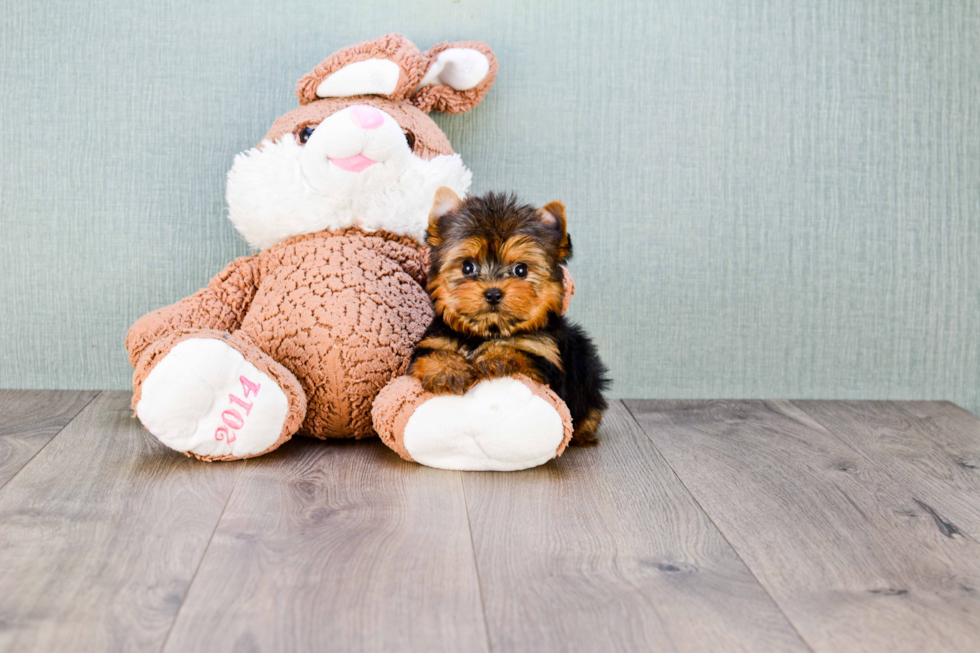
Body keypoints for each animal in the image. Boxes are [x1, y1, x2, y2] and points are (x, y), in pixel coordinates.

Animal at [408, 186, 608, 446]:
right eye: (467, 267)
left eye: (520, 269)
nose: (493, 293)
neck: (487, 330)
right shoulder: (433, 342)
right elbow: (431, 355)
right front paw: (447, 371)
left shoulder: (545, 359)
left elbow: (522, 353)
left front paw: (496, 356)